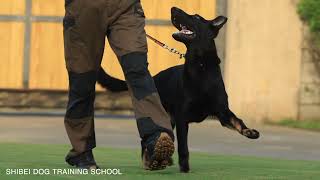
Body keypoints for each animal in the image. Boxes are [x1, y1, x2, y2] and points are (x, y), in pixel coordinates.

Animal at [97, 7, 260, 172]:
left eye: (196, 17)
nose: (173, 8)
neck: (201, 66)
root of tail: (154, 78)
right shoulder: (182, 119)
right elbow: (183, 148)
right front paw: (185, 169)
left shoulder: (222, 112)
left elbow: (237, 120)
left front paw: (249, 131)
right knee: (148, 140)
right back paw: (150, 161)